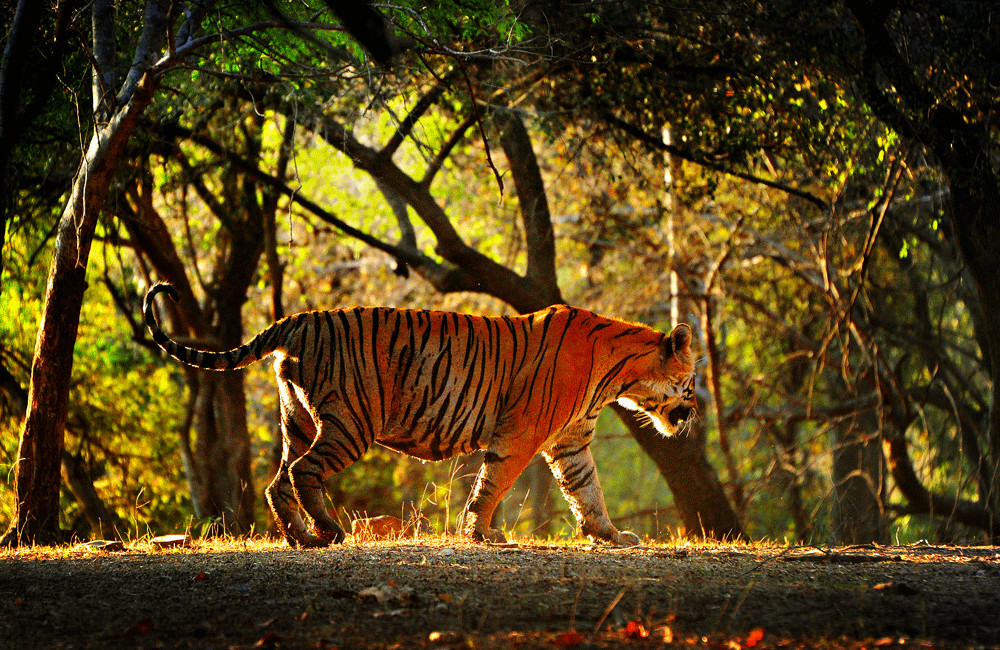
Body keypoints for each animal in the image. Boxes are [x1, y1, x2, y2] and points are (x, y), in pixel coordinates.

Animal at [145, 282, 696, 548]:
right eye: (691, 384)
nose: (691, 416)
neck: (618, 377)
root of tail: (298, 320)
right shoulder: (523, 432)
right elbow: (493, 483)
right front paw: (481, 533)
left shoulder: (571, 442)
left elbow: (589, 492)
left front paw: (611, 536)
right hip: (351, 422)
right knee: (303, 473)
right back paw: (329, 532)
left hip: (296, 420)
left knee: (277, 482)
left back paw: (302, 538)